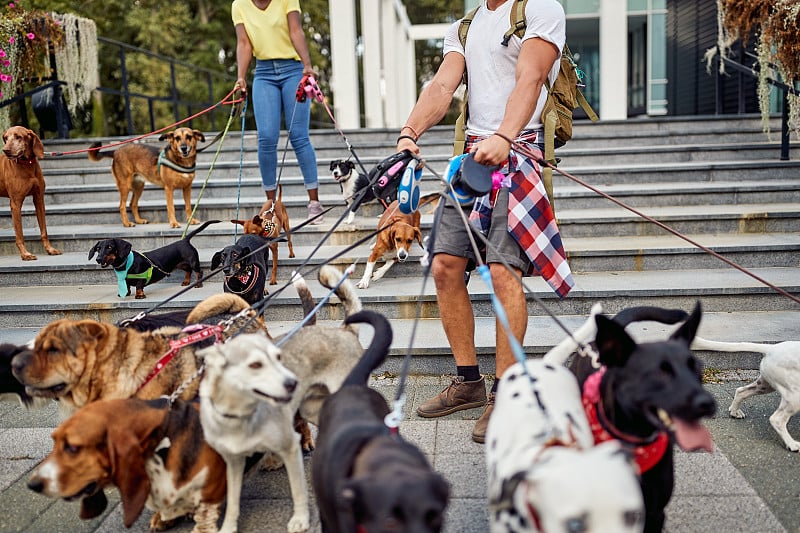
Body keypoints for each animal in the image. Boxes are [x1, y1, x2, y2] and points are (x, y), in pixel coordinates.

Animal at [0, 124, 61, 260]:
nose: (5, 150)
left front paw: (50, 249)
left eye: (18, 137)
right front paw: (25, 254)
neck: (26, 164)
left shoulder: (39, 199)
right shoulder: (15, 204)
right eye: (6, 138)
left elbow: (44, 230)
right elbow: (19, 234)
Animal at [90, 218, 219, 298]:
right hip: (181, 264)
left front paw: (139, 295)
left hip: (193, 261)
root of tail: (185, 240)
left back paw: (198, 284)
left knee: (198, 272)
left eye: (109, 247)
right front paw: (126, 293)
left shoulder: (142, 277)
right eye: (98, 249)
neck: (126, 264)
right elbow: (127, 285)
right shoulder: (125, 280)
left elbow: (139, 286)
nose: (98, 259)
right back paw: (186, 282)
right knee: (188, 271)